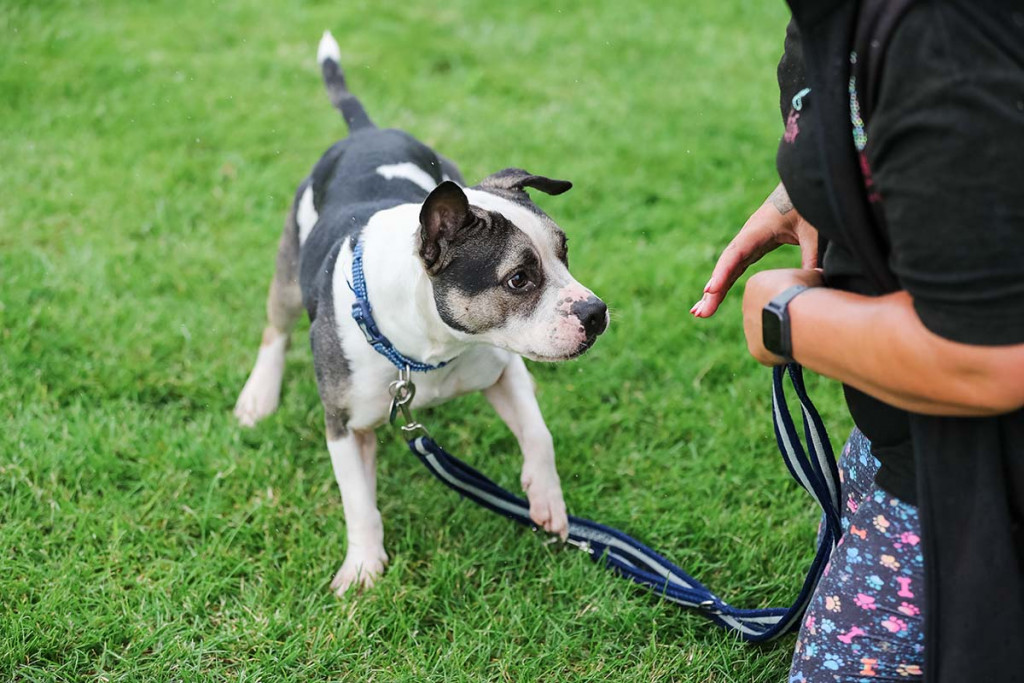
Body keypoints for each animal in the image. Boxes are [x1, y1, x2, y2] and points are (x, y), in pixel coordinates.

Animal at [232, 34, 606, 593]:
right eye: (518, 279)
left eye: (565, 253)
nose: (596, 311)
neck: (431, 346)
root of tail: (367, 132)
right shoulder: (343, 425)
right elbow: (358, 504)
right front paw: (363, 567)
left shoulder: (502, 368)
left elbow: (539, 434)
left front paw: (547, 501)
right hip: (288, 269)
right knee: (275, 330)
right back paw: (258, 395)